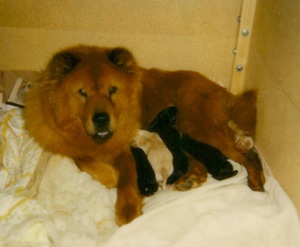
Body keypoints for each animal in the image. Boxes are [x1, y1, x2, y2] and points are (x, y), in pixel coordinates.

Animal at [25, 44, 264, 226]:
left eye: (112, 90)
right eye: (83, 92)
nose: (101, 119)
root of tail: (219, 89)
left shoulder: (126, 149)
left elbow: (127, 178)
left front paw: (126, 209)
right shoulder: (64, 143)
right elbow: (74, 159)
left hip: (200, 127)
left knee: (248, 157)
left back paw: (255, 181)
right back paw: (194, 177)